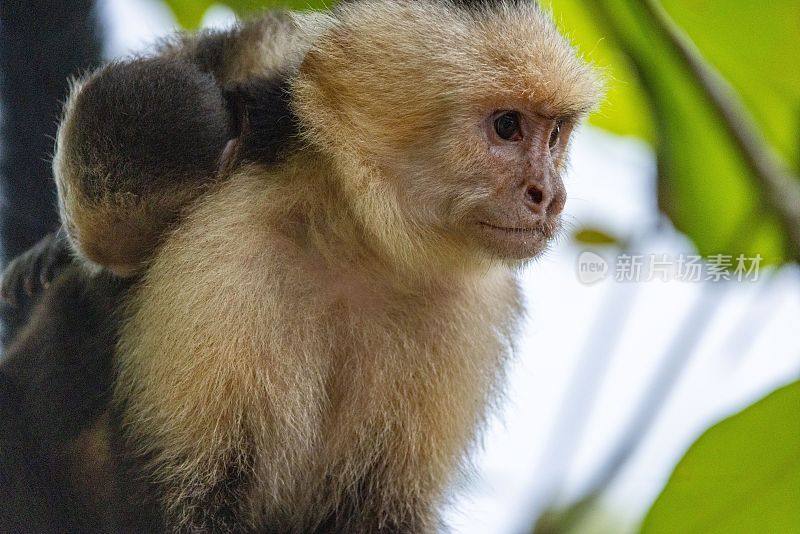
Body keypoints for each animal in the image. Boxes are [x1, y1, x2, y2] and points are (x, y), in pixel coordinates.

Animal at [0, 0, 600, 532]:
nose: (549, 194)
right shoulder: (224, 254)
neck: (356, 244)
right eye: (507, 126)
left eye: (555, 135)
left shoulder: (469, 309)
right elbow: (185, 501)